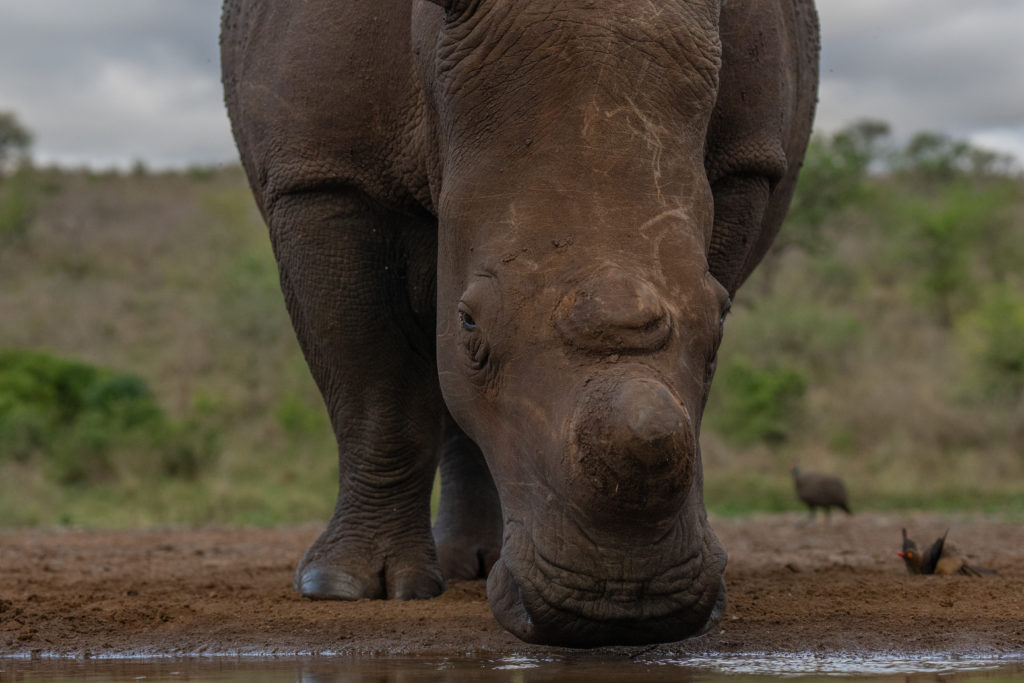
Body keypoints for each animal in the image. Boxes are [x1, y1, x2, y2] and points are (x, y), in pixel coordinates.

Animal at [220, 0, 819, 647]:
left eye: (721, 321)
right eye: (470, 324)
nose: (621, 604)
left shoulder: (745, 163)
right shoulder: (326, 174)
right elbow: (375, 389)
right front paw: (346, 589)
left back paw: (475, 567)